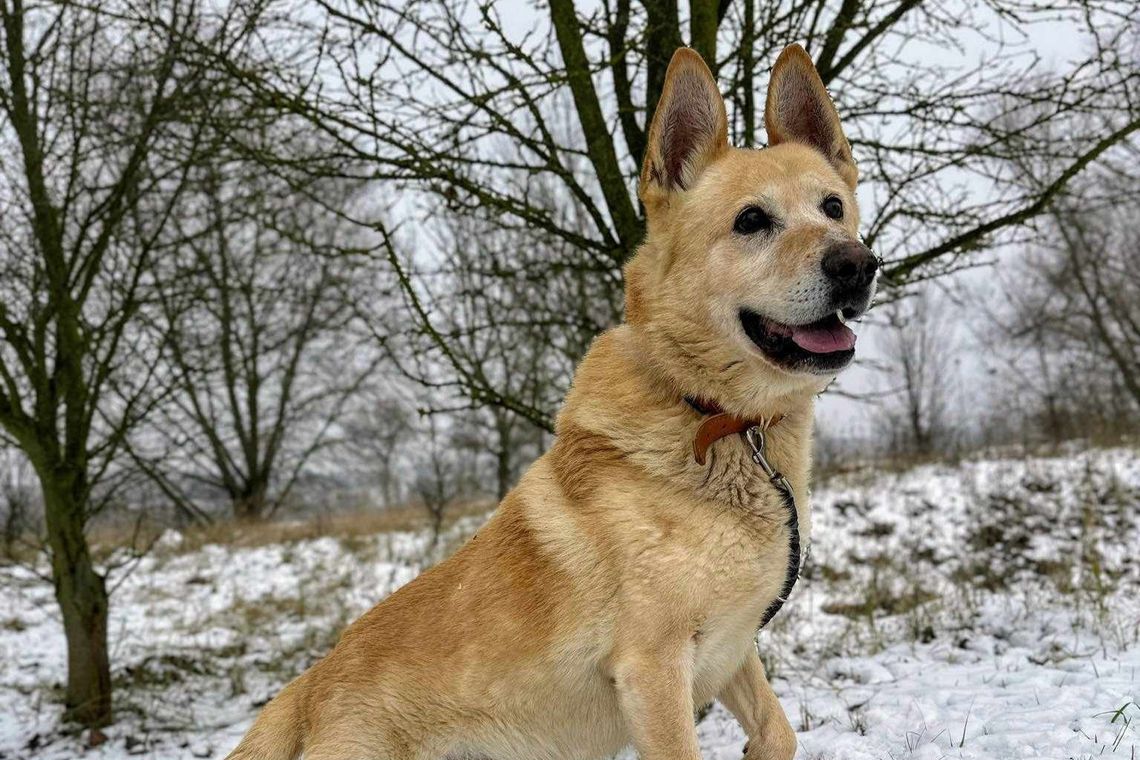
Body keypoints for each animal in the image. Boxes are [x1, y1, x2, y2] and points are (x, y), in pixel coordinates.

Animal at [226, 43, 875, 760]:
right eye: (752, 221)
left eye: (833, 207)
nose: (857, 265)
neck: (717, 418)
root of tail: (306, 689)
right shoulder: (654, 669)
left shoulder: (730, 648)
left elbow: (777, 731)